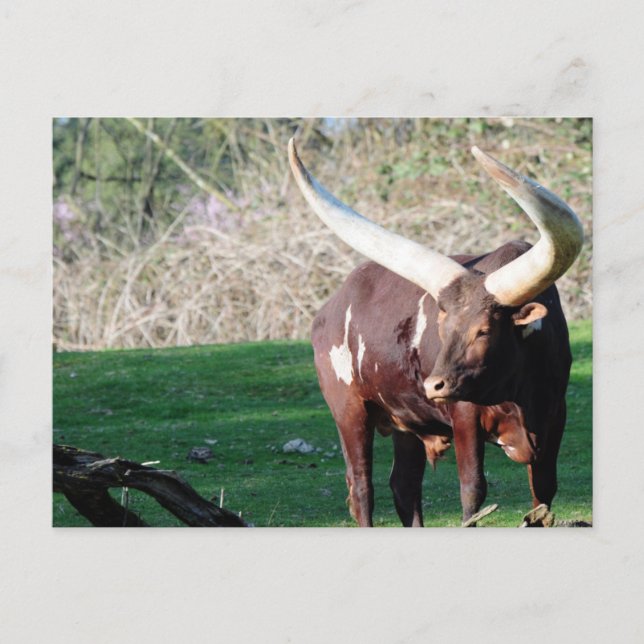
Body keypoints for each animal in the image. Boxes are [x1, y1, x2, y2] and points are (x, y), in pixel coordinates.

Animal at [288, 138, 584, 527]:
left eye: (484, 330)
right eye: (443, 327)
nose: (434, 385)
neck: (516, 390)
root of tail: (328, 310)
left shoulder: (554, 414)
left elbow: (544, 492)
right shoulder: (464, 415)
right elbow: (472, 488)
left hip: (405, 420)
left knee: (404, 485)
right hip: (348, 408)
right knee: (361, 486)